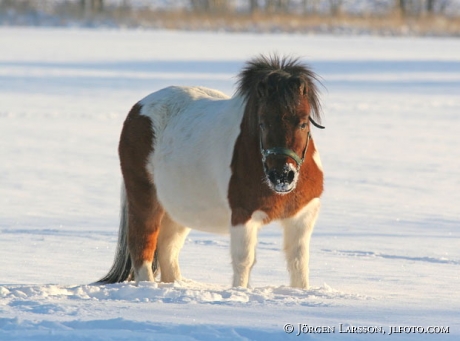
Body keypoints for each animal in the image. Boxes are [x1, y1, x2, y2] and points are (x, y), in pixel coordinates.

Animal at [99, 54, 326, 288]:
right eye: (262, 123)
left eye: (303, 123)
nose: (281, 176)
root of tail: (138, 108)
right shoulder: (243, 216)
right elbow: (244, 261)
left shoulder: (302, 217)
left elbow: (298, 263)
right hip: (144, 199)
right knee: (142, 245)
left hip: (176, 210)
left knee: (167, 250)